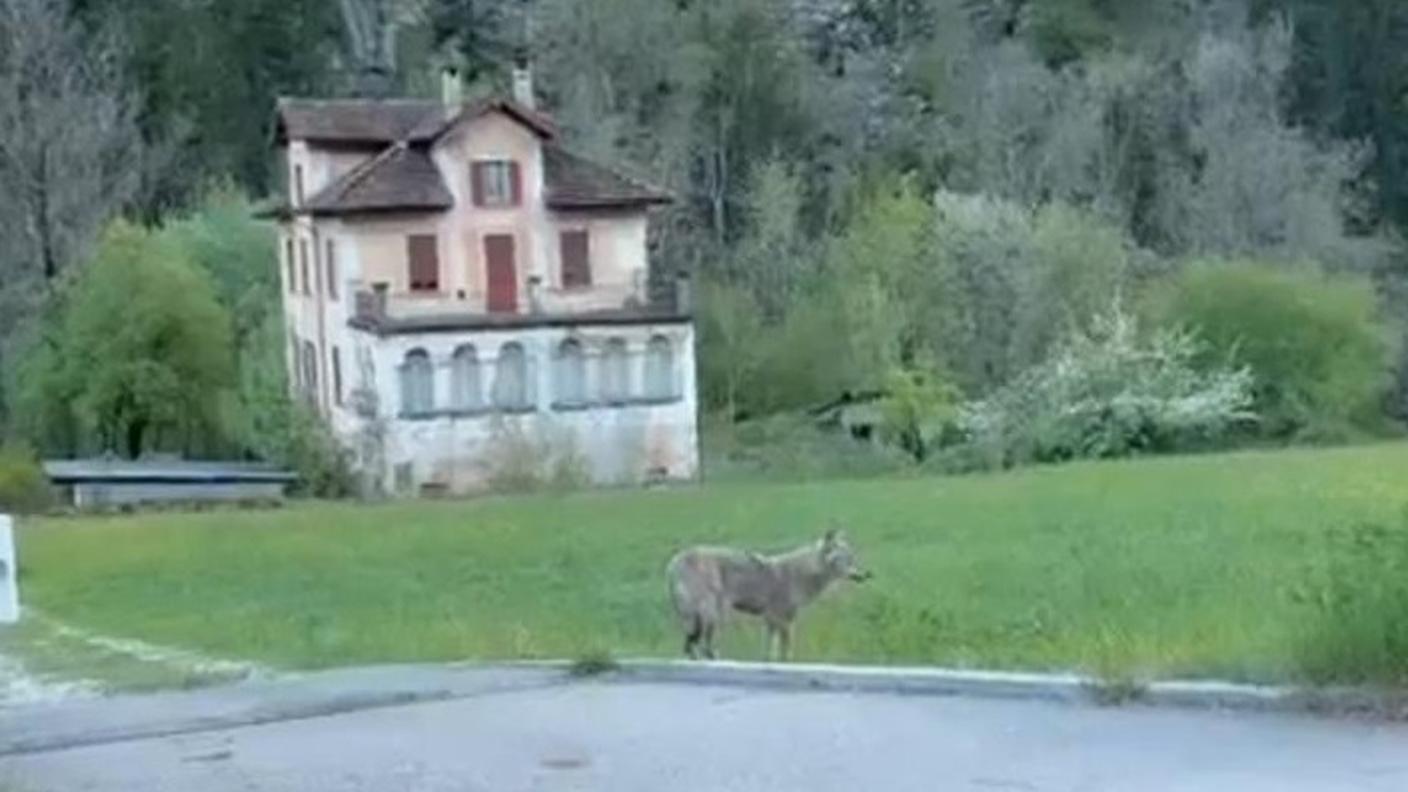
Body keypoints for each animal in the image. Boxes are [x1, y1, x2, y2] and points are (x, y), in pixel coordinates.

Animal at [665, 528, 871, 661]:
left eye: (852, 559)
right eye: (845, 561)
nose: (863, 575)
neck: (804, 574)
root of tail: (674, 563)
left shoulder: (771, 621)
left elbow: (768, 654)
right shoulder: (785, 622)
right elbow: (786, 654)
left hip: (700, 617)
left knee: (691, 646)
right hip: (714, 614)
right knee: (702, 645)